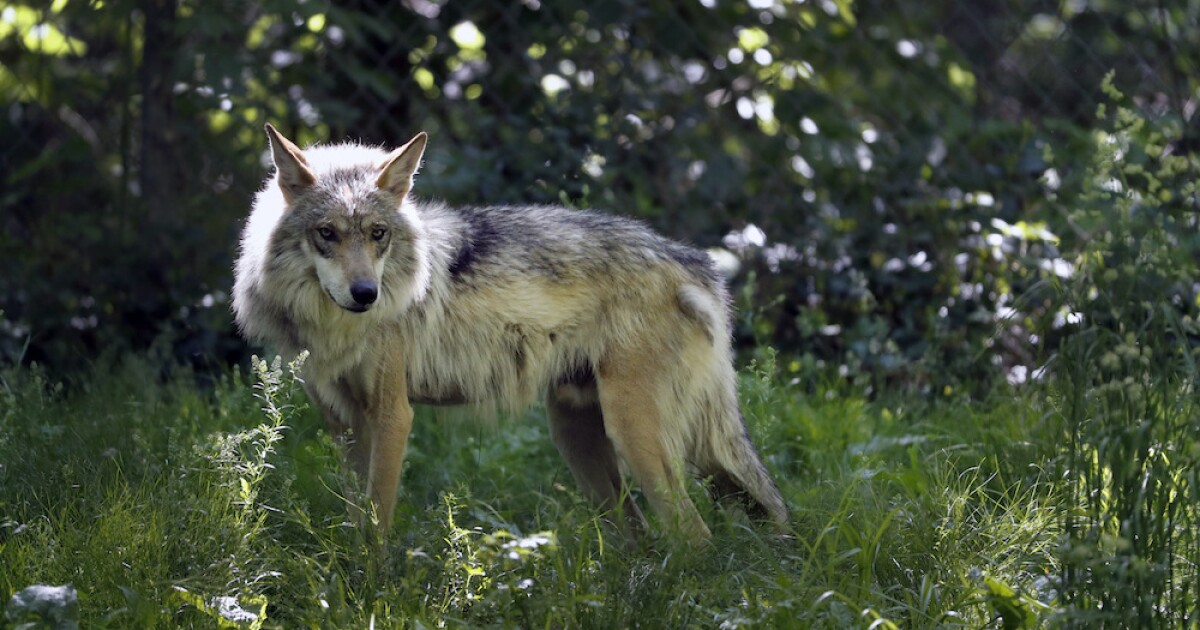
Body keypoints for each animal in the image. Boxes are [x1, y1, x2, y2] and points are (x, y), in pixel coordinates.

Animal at [232, 124, 788, 541]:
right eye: (327, 234)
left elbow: (377, 529)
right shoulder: (344, 425)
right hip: (581, 442)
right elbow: (356, 526)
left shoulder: (392, 417)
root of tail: (694, 262)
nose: (366, 293)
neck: (336, 329)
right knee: (643, 538)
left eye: (378, 234)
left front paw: (374, 594)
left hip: (638, 438)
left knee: (695, 537)